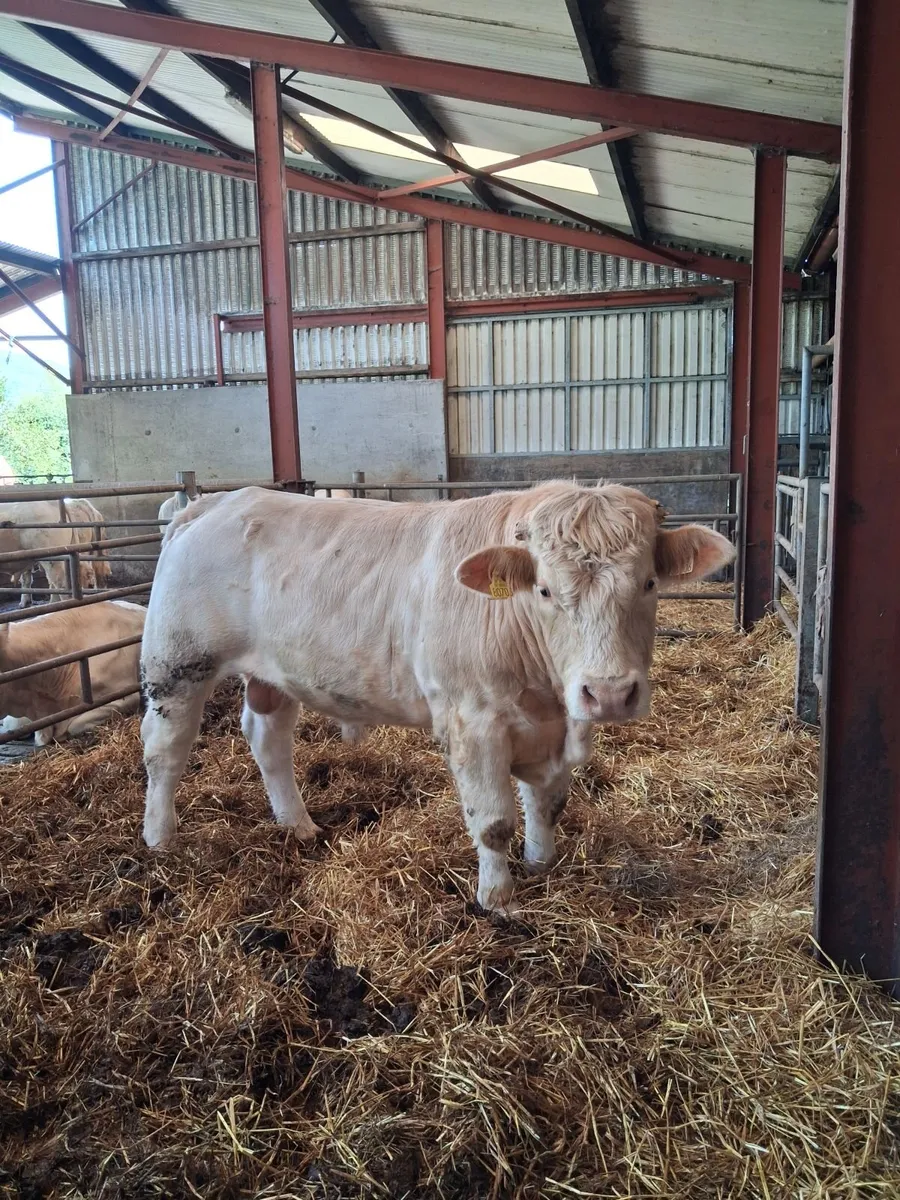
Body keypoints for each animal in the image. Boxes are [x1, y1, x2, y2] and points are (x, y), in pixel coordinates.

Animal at [139, 483, 734, 913]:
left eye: (650, 584)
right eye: (544, 590)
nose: (608, 693)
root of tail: (214, 501)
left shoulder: (555, 727)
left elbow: (548, 802)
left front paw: (542, 864)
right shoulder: (473, 722)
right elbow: (493, 820)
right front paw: (497, 900)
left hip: (274, 673)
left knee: (269, 740)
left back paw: (298, 825)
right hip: (176, 664)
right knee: (165, 750)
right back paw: (160, 838)